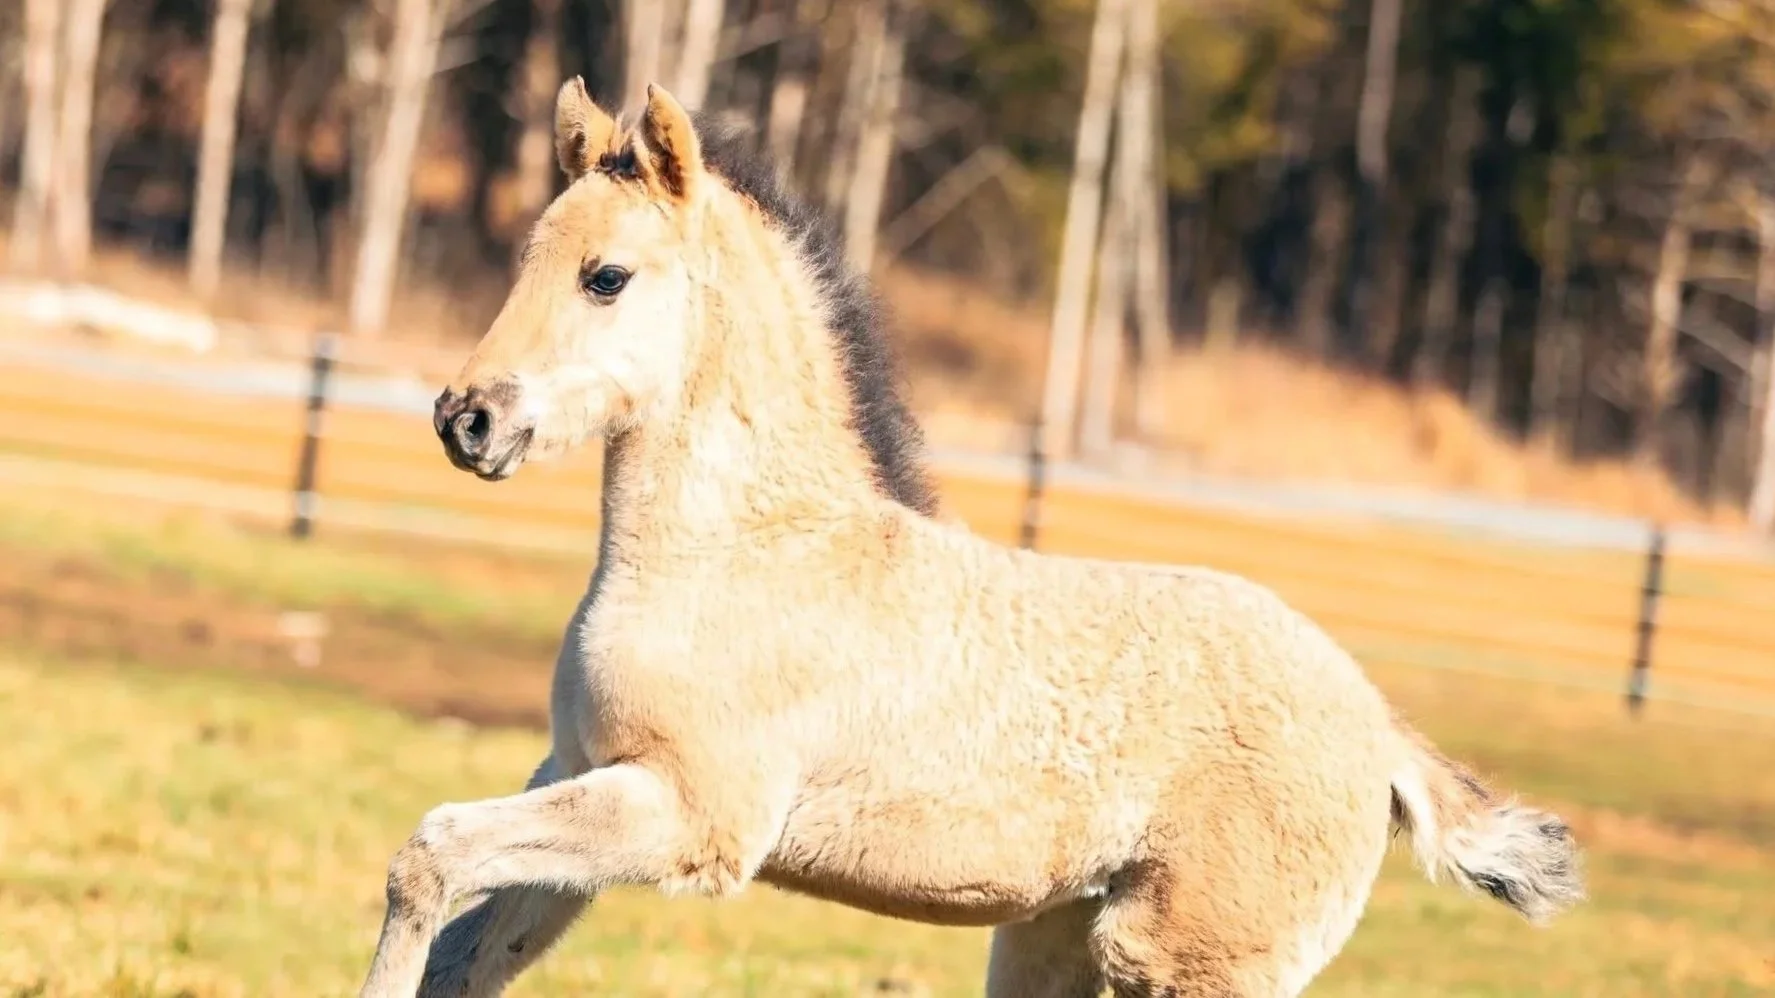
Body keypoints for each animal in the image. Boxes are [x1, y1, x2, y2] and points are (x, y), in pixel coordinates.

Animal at [355, 79, 1583, 998]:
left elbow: (429, 852)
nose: (465, 417)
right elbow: (466, 943)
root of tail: (1379, 731)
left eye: (605, 277)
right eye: (524, 259)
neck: (742, 555)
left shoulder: (689, 819)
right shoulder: (584, 780)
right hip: (1054, 941)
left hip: (1186, 962)